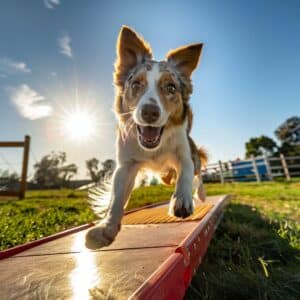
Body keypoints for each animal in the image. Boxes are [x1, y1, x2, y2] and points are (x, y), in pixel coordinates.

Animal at [85, 25, 206, 250]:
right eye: (136, 84)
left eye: (171, 87)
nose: (150, 112)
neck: (154, 148)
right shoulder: (126, 165)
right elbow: (116, 198)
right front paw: (106, 228)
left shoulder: (184, 153)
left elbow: (185, 173)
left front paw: (181, 200)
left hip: (194, 154)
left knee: (198, 173)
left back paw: (199, 194)